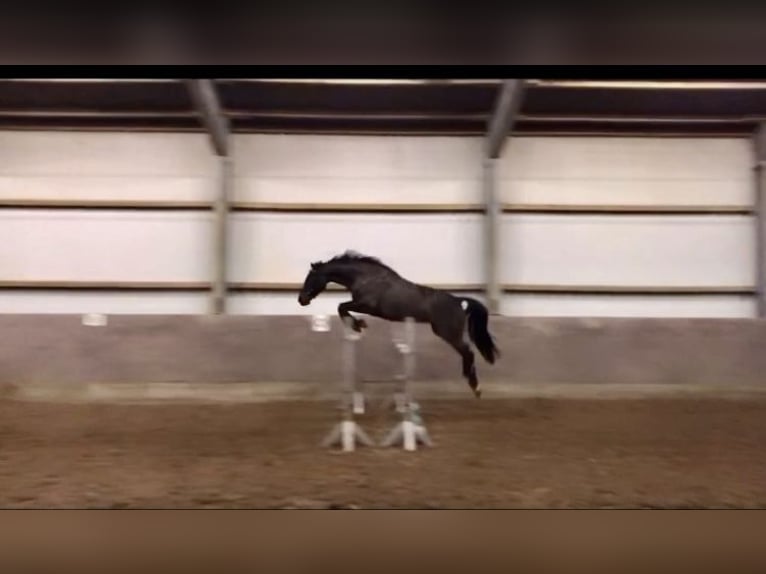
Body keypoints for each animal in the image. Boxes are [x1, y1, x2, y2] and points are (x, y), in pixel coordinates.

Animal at [296, 252, 500, 400]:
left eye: (310, 278)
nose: (301, 300)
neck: (366, 277)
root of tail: (460, 302)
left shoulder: (366, 305)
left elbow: (342, 307)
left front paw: (358, 325)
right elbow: (343, 307)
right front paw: (358, 325)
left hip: (448, 333)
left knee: (468, 352)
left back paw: (475, 387)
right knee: (468, 353)